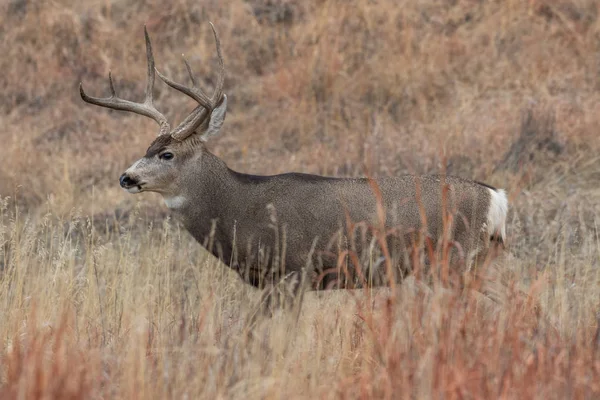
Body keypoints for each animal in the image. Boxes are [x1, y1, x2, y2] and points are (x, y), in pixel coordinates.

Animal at [79, 23, 508, 318]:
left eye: (166, 154)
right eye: (147, 148)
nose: (127, 177)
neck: (239, 208)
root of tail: (496, 197)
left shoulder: (293, 272)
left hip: (455, 260)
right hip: (479, 259)